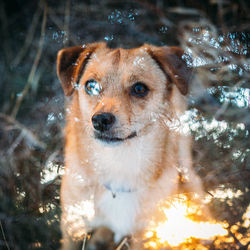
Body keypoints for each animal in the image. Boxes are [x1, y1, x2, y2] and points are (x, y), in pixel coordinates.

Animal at [56, 42, 203, 249]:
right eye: (91, 86)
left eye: (139, 88)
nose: (100, 120)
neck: (119, 164)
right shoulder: (73, 230)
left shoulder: (146, 236)